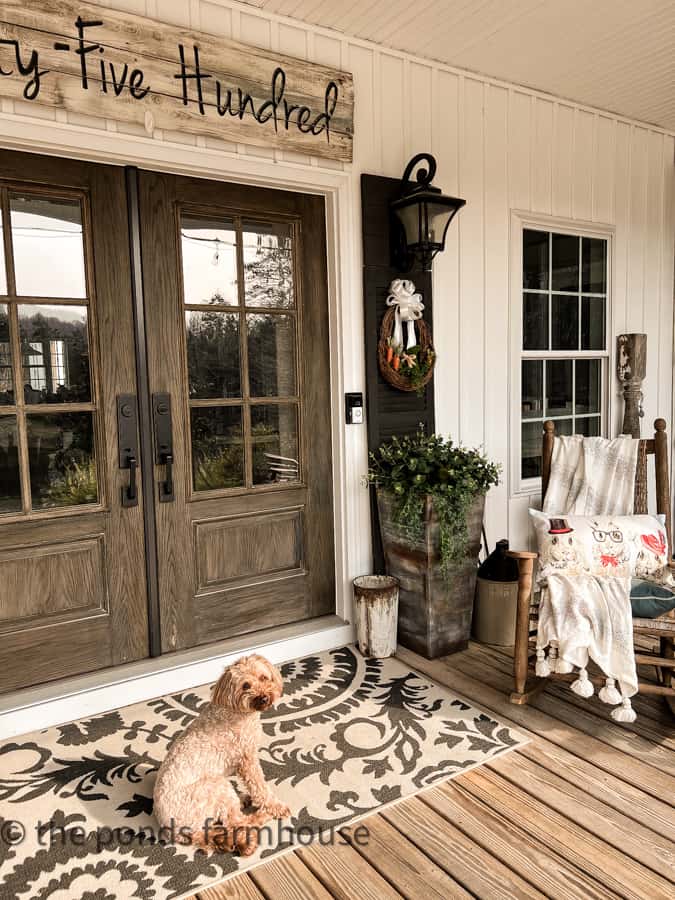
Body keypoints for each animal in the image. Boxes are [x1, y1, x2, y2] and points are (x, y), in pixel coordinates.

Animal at [153, 652, 290, 856]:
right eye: (246, 686)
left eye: (263, 678)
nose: (264, 698)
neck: (236, 710)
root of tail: (176, 831)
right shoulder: (247, 760)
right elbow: (260, 788)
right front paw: (275, 807)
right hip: (215, 785)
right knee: (236, 823)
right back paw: (258, 820)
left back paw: (243, 801)